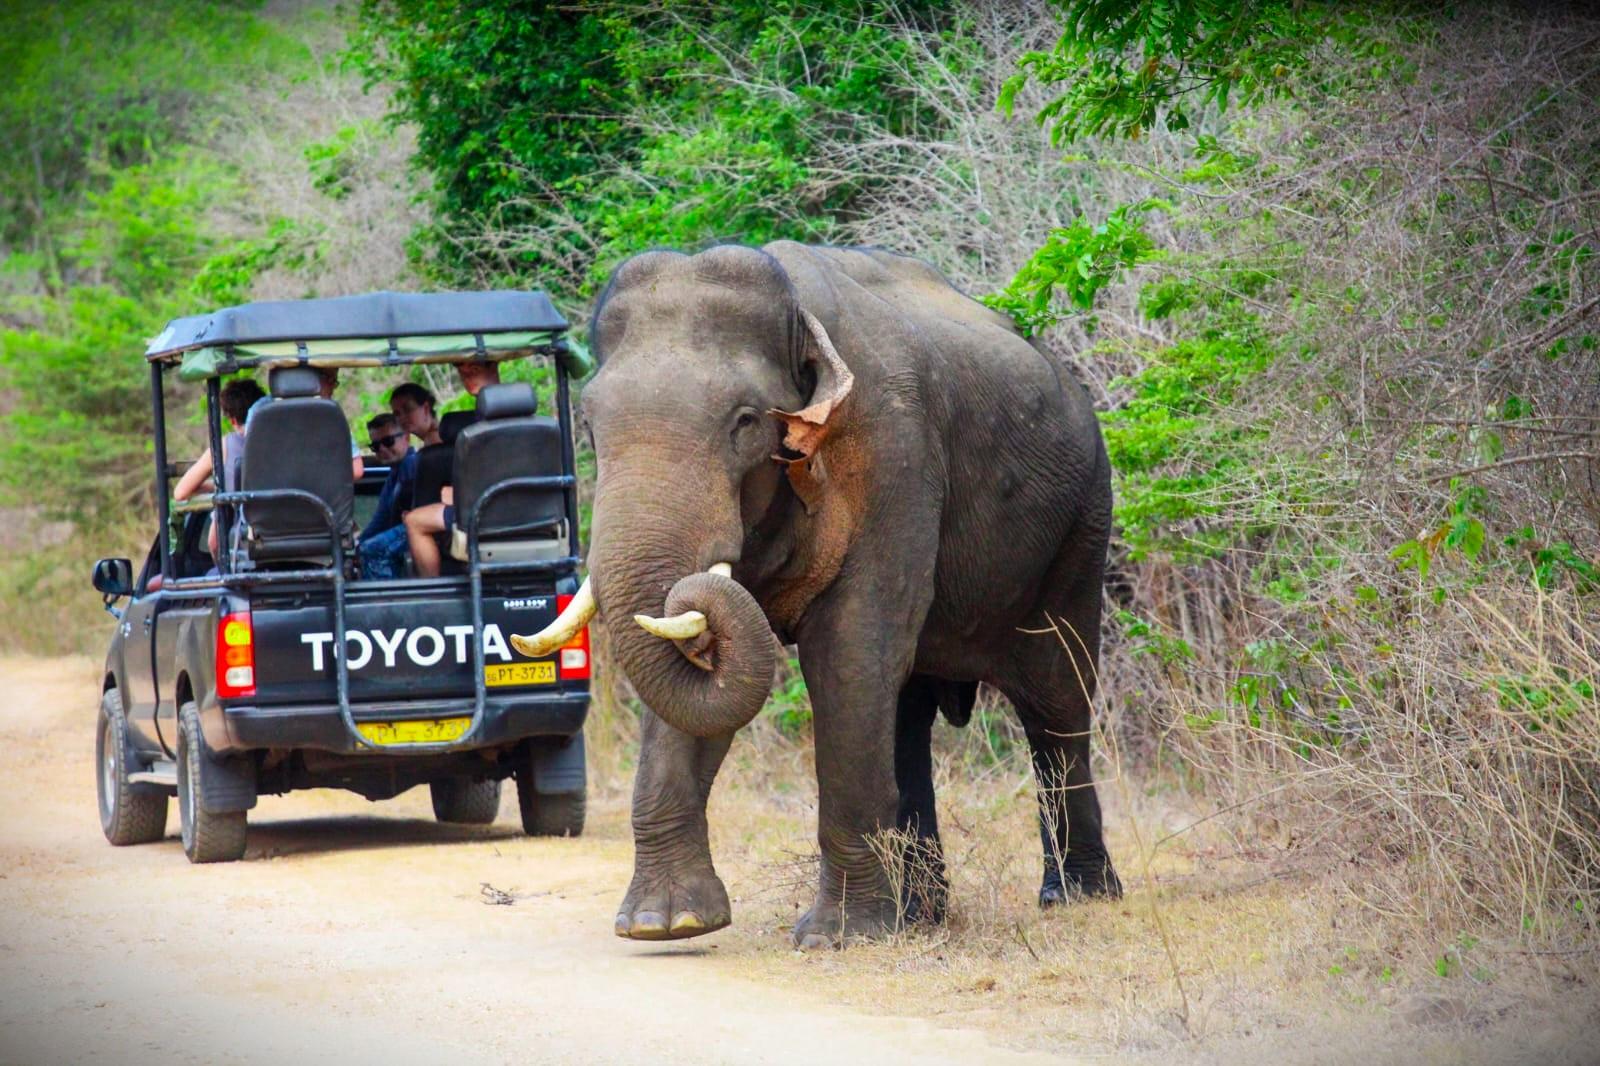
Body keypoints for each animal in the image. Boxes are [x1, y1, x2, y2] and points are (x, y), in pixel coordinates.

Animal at [512, 241, 1122, 948]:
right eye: (586, 424)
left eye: (746, 422)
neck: (797, 311)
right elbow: (705, 672)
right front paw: (665, 924)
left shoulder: (894, 455)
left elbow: (849, 651)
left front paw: (837, 936)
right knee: (907, 710)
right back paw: (920, 915)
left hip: (1083, 524)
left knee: (1055, 697)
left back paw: (1075, 896)